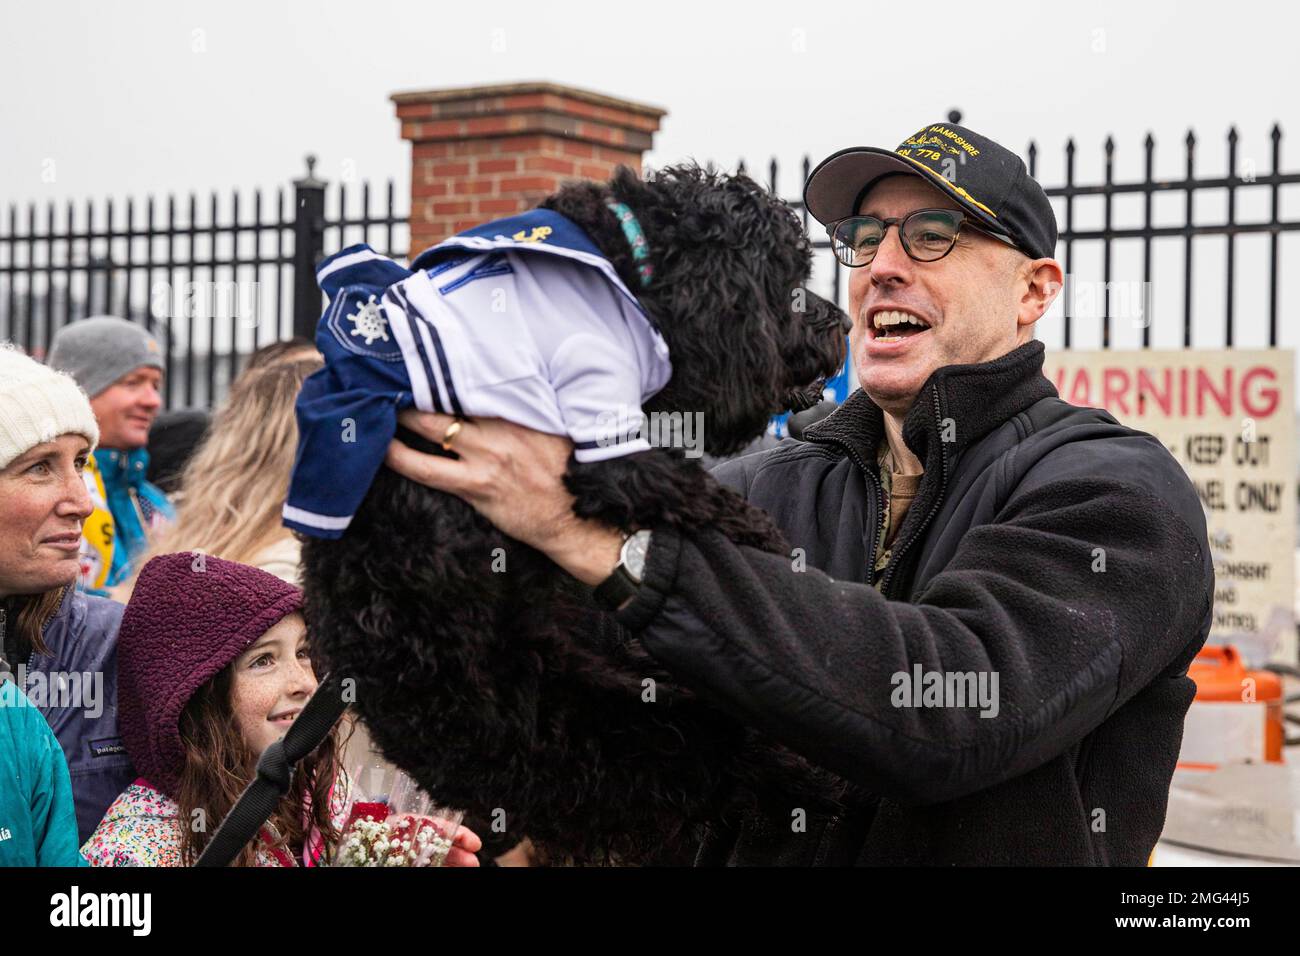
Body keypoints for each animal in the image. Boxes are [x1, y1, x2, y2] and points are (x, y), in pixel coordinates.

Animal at [304, 166, 852, 868]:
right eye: (786, 284)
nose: (843, 323)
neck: (631, 261)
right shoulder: (604, 447)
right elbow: (699, 491)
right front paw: (768, 538)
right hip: (623, 734)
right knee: (729, 760)